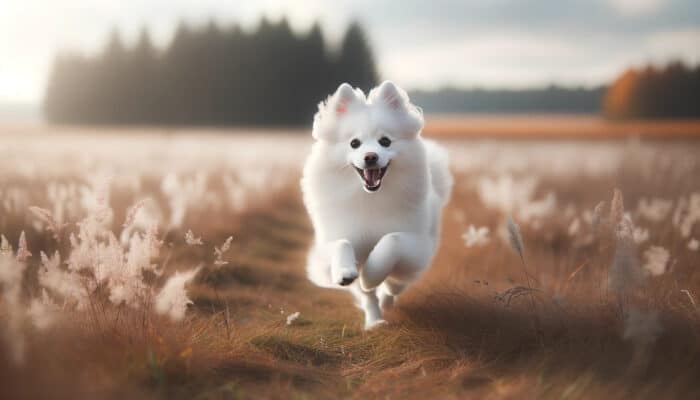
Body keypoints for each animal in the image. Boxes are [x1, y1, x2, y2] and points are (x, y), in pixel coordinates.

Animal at [298, 80, 452, 328]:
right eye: (354, 143)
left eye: (385, 141)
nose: (370, 156)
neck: (369, 197)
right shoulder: (330, 244)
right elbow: (342, 244)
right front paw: (346, 273)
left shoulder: (416, 243)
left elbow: (391, 241)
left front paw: (371, 274)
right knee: (368, 296)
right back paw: (374, 322)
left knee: (395, 284)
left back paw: (385, 298)